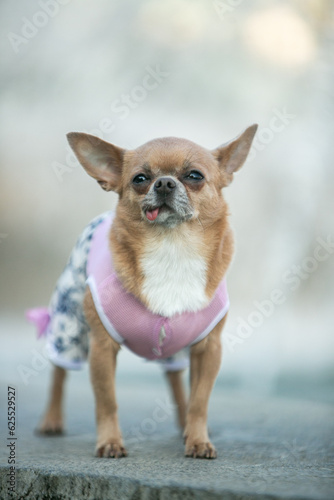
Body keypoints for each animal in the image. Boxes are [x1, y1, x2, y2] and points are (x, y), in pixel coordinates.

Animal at [35, 124, 258, 458]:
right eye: (140, 179)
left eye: (195, 175)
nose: (164, 182)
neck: (172, 247)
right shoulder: (102, 349)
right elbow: (107, 400)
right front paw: (110, 442)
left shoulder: (208, 350)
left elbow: (200, 400)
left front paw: (198, 439)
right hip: (69, 329)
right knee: (58, 375)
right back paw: (51, 420)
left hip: (176, 350)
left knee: (177, 381)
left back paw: (183, 426)